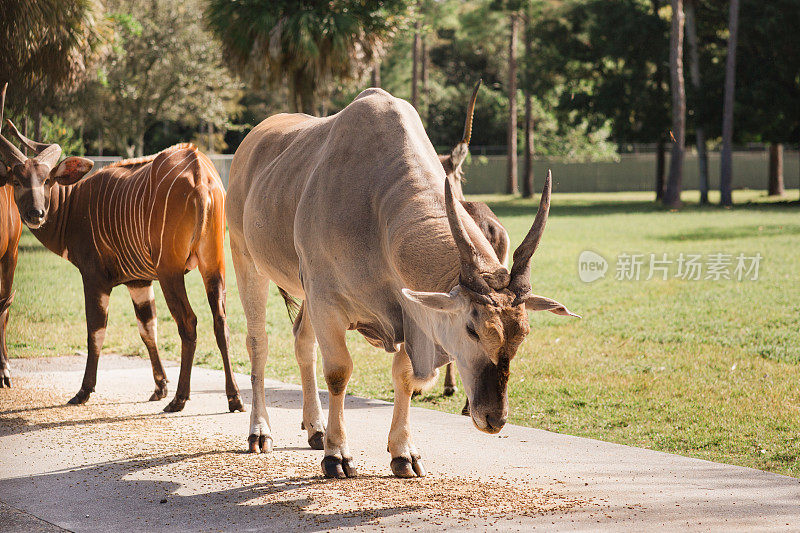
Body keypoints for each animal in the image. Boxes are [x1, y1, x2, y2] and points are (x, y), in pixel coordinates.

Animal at [225, 87, 576, 478]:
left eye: (523, 333)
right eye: (471, 329)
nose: (493, 418)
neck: (378, 209)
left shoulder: (409, 311)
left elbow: (404, 377)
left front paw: (403, 454)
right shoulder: (326, 299)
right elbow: (339, 371)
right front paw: (337, 456)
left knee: (302, 340)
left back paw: (315, 429)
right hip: (248, 261)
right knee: (258, 342)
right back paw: (260, 432)